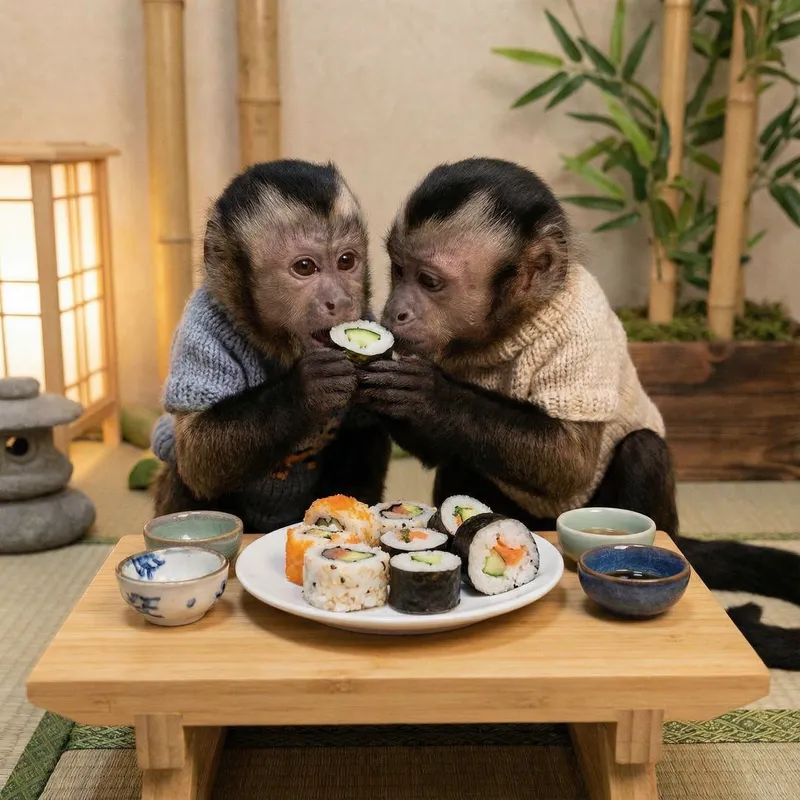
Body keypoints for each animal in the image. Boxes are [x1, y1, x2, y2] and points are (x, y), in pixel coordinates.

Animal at [150, 159, 391, 533]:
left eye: (346, 261)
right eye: (305, 267)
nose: (339, 300)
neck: (279, 346)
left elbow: (366, 428)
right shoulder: (202, 328)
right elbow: (196, 456)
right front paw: (306, 390)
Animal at [357, 156, 800, 670]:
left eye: (428, 281)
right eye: (398, 270)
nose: (395, 311)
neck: (509, 326)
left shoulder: (580, 329)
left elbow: (570, 463)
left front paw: (431, 397)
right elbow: (436, 451)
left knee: (643, 449)